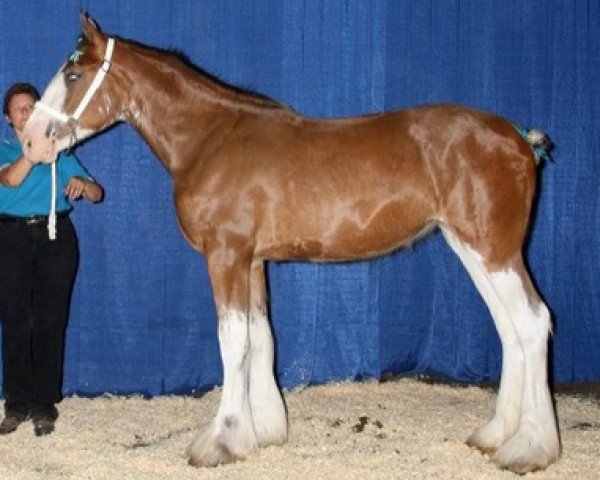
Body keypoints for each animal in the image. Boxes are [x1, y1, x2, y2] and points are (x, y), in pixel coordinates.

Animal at [22, 16, 556, 474]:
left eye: (73, 74)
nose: (30, 141)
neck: (211, 140)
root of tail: (516, 137)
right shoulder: (253, 261)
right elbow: (260, 336)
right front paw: (262, 431)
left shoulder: (226, 255)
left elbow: (232, 341)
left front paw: (220, 441)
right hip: (473, 248)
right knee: (510, 328)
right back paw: (494, 434)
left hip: (494, 249)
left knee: (533, 323)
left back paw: (530, 448)